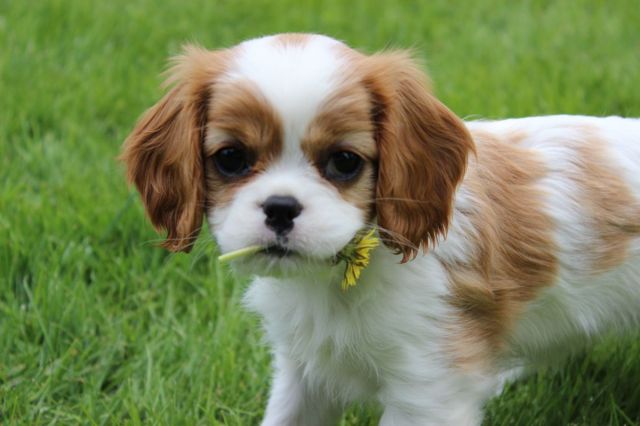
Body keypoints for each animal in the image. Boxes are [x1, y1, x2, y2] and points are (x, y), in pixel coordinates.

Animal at [122, 34, 640, 426]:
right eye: (231, 158)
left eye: (344, 162)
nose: (281, 208)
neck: (340, 276)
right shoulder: (303, 375)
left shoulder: (429, 386)